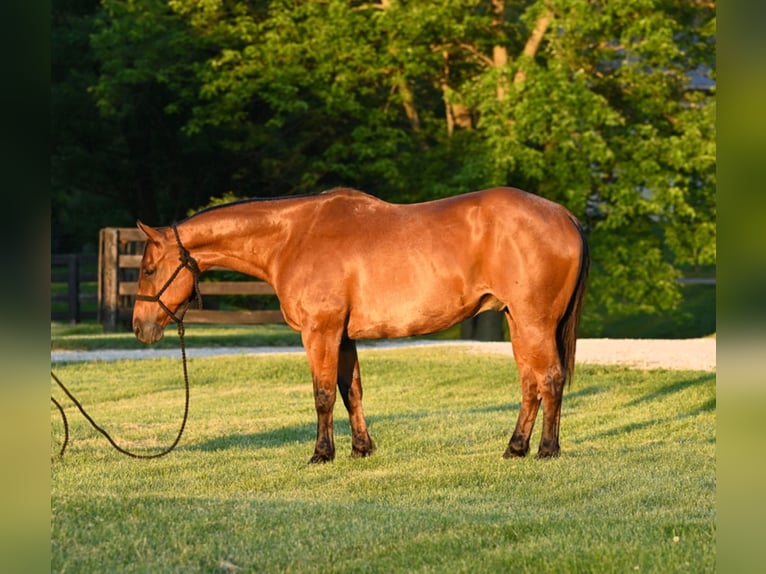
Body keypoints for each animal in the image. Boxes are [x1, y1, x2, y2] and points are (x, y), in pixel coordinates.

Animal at [132, 189, 592, 464]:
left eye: (150, 269)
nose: (140, 327)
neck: (293, 238)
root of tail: (565, 215)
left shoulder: (320, 332)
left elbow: (322, 395)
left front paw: (321, 454)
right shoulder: (344, 336)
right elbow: (349, 391)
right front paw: (360, 448)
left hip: (534, 322)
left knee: (549, 379)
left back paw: (546, 450)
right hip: (518, 322)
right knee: (530, 384)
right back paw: (515, 447)